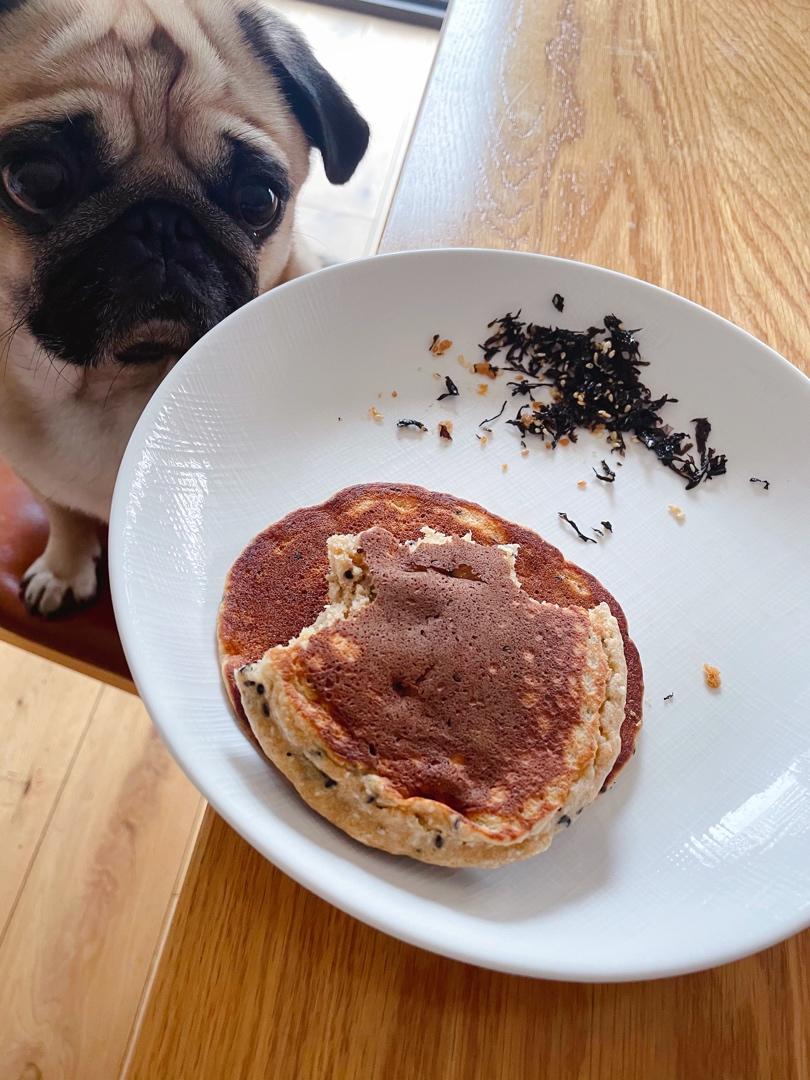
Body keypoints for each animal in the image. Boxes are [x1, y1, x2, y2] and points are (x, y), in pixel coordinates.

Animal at [0, 0, 369, 613]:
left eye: (258, 199)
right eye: (35, 180)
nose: (161, 224)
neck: (118, 386)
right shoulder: (35, 475)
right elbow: (63, 513)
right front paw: (63, 567)